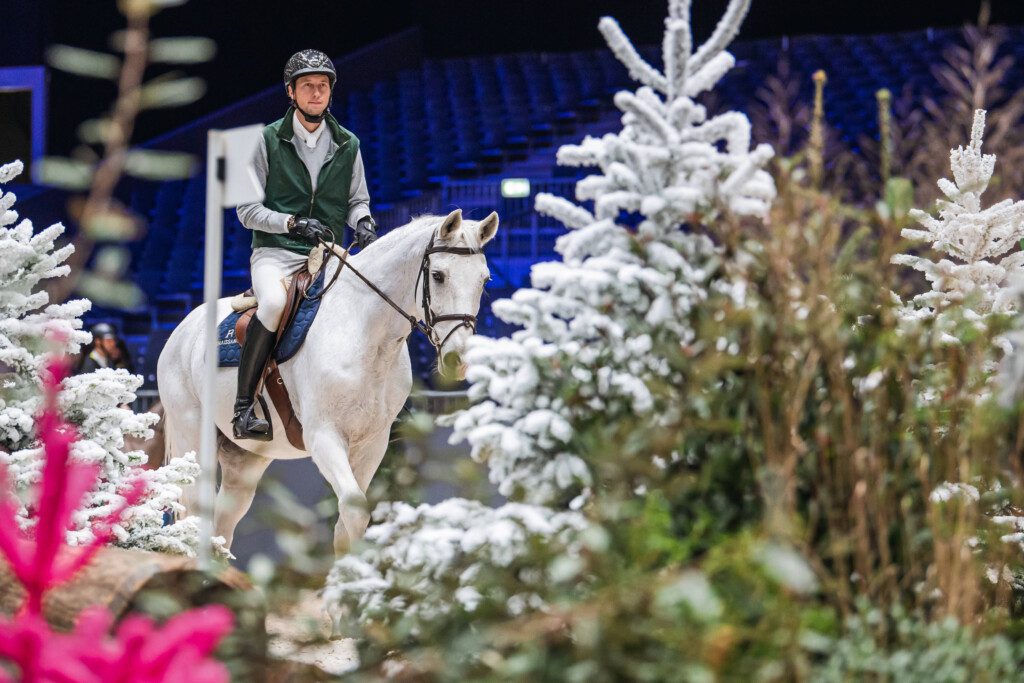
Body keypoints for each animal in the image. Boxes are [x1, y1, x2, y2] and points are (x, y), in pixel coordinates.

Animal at [155, 209, 499, 557]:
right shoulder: (324, 436)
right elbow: (355, 511)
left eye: (484, 280)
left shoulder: (373, 443)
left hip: (245, 461)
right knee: (196, 513)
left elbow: (345, 525)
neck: (365, 331)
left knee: (224, 524)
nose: (458, 359)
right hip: (193, 436)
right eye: (439, 276)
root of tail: (181, 330)